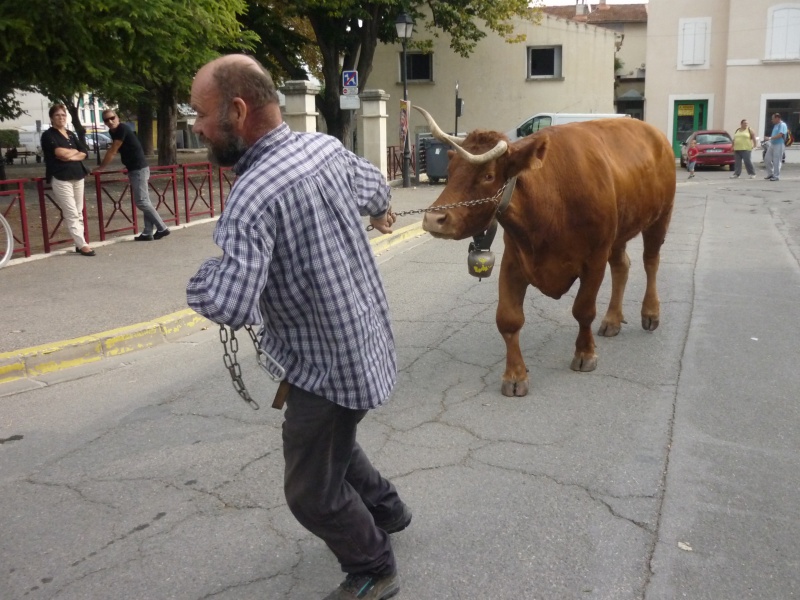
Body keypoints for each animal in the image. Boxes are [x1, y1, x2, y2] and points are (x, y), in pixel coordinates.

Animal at [418, 108, 676, 398]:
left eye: (488, 175)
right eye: (450, 171)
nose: (433, 219)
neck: (551, 202)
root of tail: (654, 133)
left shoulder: (595, 259)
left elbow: (583, 310)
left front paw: (585, 354)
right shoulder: (514, 261)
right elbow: (508, 319)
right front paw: (515, 375)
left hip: (660, 216)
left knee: (650, 262)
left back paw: (650, 314)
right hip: (619, 232)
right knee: (622, 266)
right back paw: (612, 320)